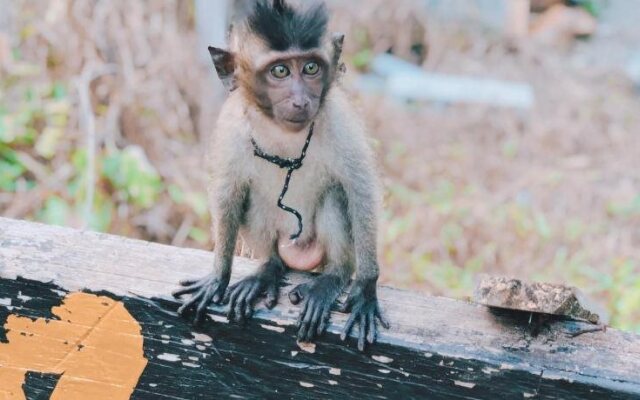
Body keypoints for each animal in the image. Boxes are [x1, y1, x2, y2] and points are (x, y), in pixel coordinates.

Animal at [173, 0, 389, 351]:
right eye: (280, 71)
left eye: (311, 68)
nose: (301, 100)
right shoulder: (232, 126)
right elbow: (228, 193)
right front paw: (218, 276)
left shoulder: (339, 120)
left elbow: (361, 190)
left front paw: (366, 289)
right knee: (255, 201)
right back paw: (267, 270)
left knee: (335, 195)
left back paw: (334, 276)